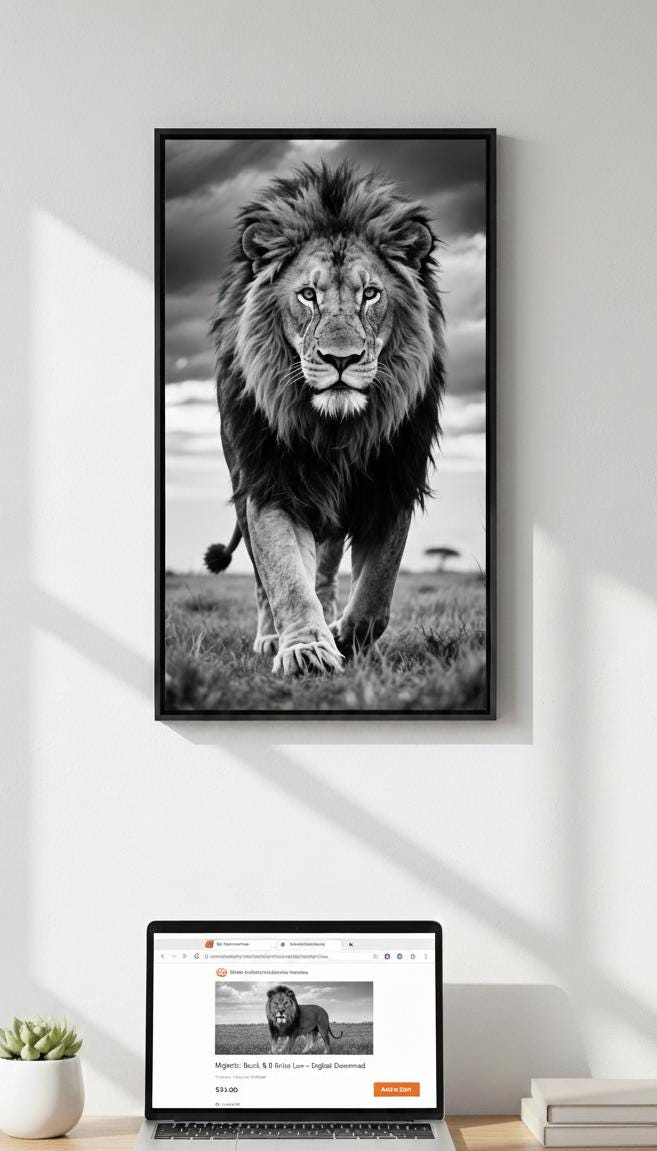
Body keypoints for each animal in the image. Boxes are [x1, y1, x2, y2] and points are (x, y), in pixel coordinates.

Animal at [205, 159, 445, 674]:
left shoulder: (392, 484)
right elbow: (285, 578)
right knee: (264, 580)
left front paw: (344, 636)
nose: (341, 359)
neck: (336, 431)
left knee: (328, 568)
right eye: (308, 295)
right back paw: (270, 637)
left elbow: (376, 594)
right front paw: (305, 649)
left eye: (370, 294)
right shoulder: (270, 483)